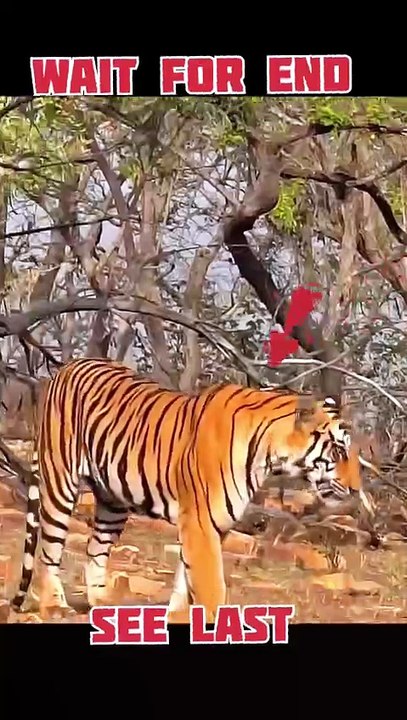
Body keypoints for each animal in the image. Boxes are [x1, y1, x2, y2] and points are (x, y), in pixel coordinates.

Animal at [11, 356, 371, 624]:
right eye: (339, 451)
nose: (356, 488)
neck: (268, 454)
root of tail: (64, 368)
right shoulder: (200, 522)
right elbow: (210, 585)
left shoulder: (213, 524)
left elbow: (186, 579)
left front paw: (178, 617)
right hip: (60, 482)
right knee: (49, 549)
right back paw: (55, 606)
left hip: (113, 501)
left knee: (95, 549)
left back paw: (104, 605)